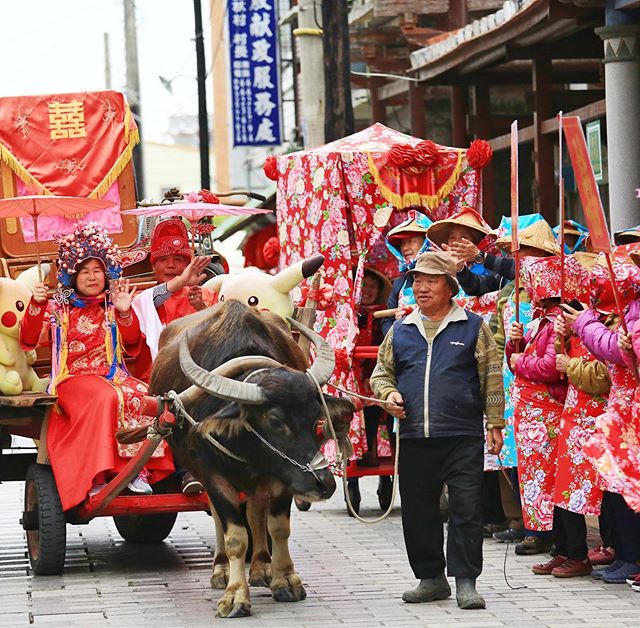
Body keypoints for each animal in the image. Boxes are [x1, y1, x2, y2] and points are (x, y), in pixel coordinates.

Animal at [149, 300, 356, 620]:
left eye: (315, 417)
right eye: (275, 421)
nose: (324, 483)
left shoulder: (284, 478)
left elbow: (278, 527)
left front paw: (286, 580)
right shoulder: (214, 476)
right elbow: (235, 535)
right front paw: (235, 595)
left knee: (257, 509)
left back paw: (261, 567)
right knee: (222, 519)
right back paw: (221, 570)